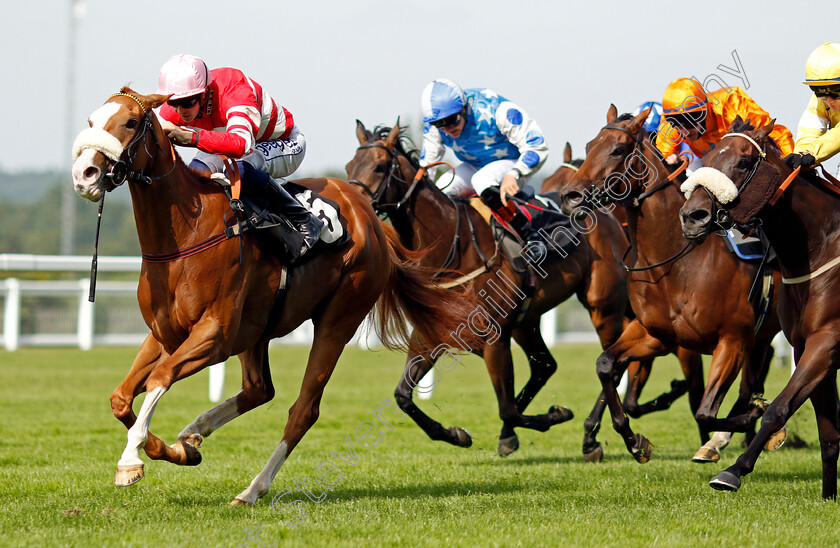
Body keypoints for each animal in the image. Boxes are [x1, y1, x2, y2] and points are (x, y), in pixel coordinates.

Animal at [70, 89, 480, 506]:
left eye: (131, 122)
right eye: (91, 121)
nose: (84, 173)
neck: (186, 235)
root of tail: (369, 216)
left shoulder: (215, 336)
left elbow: (159, 378)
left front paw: (130, 461)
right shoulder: (165, 334)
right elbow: (121, 397)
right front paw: (174, 450)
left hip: (337, 320)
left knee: (303, 410)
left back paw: (252, 488)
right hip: (257, 331)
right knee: (258, 389)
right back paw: (195, 430)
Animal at [344, 122, 704, 460]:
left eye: (379, 167)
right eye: (349, 166)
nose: (356, 206)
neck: (453, 245)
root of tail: (609, 219)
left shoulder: (494, 339)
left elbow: (508, 409)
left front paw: (555, 415)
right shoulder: (430, 335)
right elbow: (403, 398)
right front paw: (456, 434)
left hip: (602, 308)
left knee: (608, 367)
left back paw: (593, 437)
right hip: (527, 320)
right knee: (547, 366)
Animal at [556, 104, 780, 462]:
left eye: (618, 149)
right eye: (589, 147)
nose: (569, 196)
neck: (677, 263)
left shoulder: (730, 339)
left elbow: (704, 409)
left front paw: (748, 421)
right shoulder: (655, 334)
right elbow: (606, 365)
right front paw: (634, 440)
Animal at [680, 117, 840, 498]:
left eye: (742, 162)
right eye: (708, 155)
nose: (692, 216)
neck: (819, 249)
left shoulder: (828, 341)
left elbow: (778, 408)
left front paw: (733, 470)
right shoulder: (807, 345)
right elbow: (829, 435)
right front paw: (829, 496)